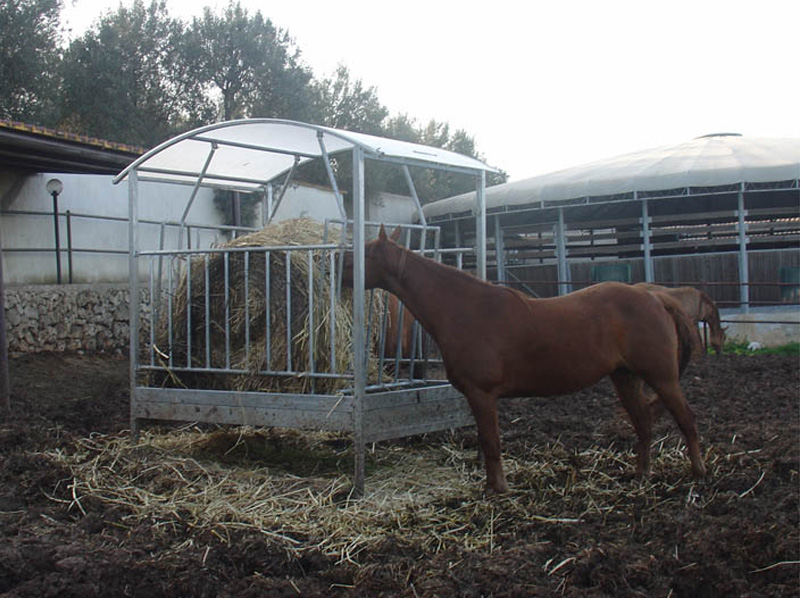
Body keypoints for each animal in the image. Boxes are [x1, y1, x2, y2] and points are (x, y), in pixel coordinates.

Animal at [344, 227, 708, 494]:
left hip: (662, 379)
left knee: (687, 420)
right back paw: (641, 474)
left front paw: (497, 490)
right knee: (643, 425)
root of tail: (656, 298)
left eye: (364, 253)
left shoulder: (481, 394)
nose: (336, 268)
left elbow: (491, 442)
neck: (464, 308)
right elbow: (487, 441)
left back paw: (698, 473)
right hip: (625, 377)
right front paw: (493, 486)